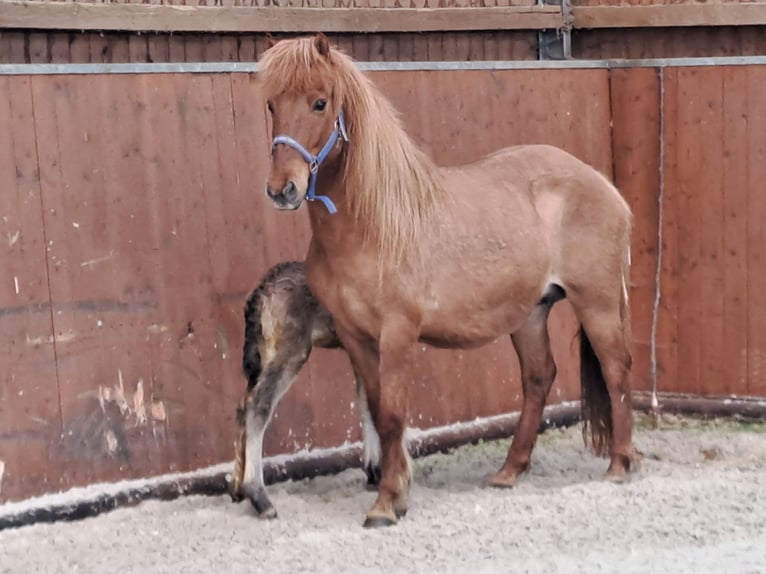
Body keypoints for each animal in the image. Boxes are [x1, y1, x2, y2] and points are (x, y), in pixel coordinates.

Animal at [229, 261, 382, 518]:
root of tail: (260, 294)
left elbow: (367, 403)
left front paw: (375, 473)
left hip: (264, 357)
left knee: (243, 405)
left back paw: (237, 490)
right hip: (291, 351)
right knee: (257, 406)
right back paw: (260, 497)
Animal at [255, 33, 635, 528]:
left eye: (320, 102)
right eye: (271, 104)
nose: (282, 190)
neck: (372, 224)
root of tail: (603, 185)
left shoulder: (397, 335)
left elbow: (392, 416)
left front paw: (387, 502)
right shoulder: (356, 338)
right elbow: (376, 412)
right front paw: (393, 491)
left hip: (598, 302)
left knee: (615, 369)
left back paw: (620, 465)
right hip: (531, 313)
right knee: (538, 378)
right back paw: (508, 472)